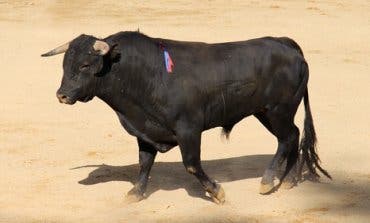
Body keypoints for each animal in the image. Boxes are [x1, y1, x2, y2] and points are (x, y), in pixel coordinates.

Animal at [42, 31, 330, 204]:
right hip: (266, 113)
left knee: (288, 138)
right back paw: (288, 180)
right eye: (65, 64)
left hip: (278, 110)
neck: (149, 75)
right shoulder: (146, 129)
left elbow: (191, 164)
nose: (62, 95)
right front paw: (135, 193)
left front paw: (217, 192)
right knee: (293, 136)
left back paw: (268, 181)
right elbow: (144, 162)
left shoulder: (188, 129)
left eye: (85, 65)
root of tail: (285, 43)